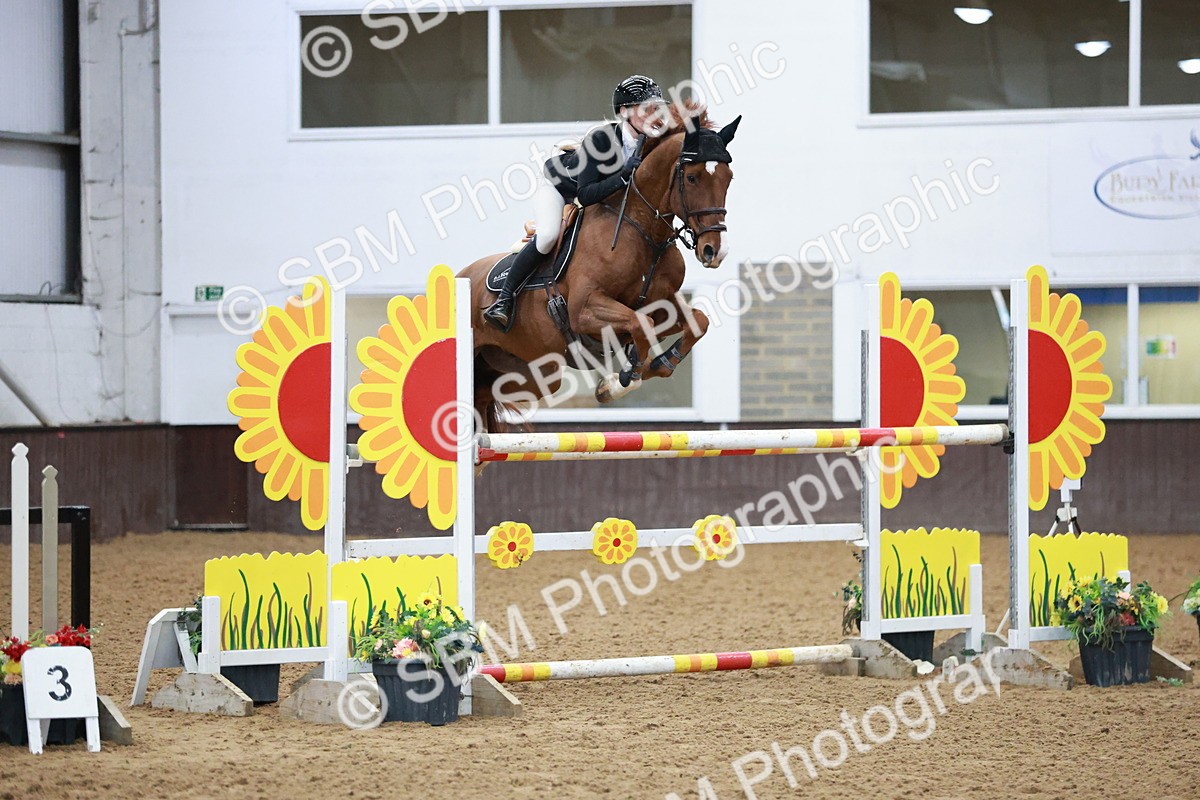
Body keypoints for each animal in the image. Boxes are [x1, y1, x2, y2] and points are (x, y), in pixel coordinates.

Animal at [458, 106, 741, 432]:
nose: (715, 250)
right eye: (692, 177)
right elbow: (639, 324)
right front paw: (622, 380)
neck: (645, 232)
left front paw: (655, 365)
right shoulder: (584, 310)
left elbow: (697, 322)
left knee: (483, 396)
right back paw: (500, 310)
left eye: (728, 178)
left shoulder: (663, 304)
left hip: (527, 371)